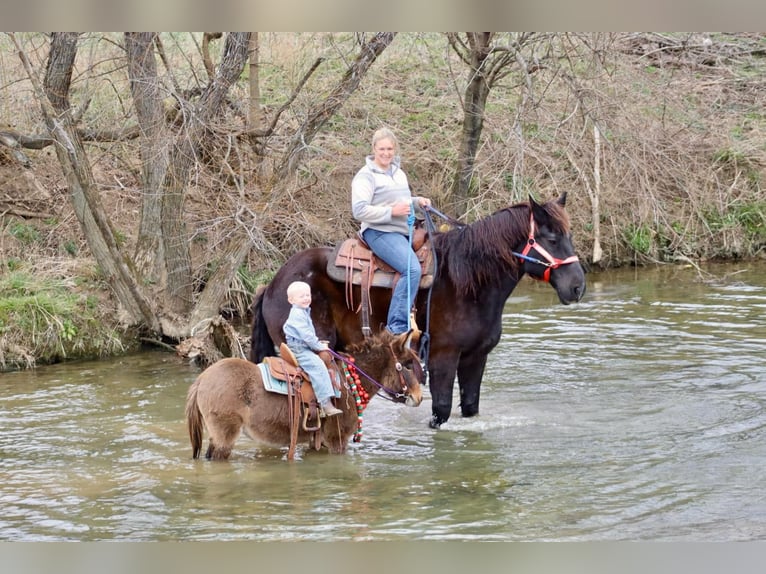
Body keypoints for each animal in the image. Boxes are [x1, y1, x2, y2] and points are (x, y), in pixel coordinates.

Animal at [186, 330, 426, 462]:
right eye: (406, 365)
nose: (419, 398)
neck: (348, 381)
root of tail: (202, 379)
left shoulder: (317, 441)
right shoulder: (337, 440)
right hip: (225, 436)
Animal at [252, 196, 588, 430]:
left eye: (569, 235)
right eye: (551, 239)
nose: (577, 286)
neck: (466, 283)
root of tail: (273, 284)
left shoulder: (476, 358)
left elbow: (470, 406)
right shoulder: (442, 358)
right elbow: (441, 410)